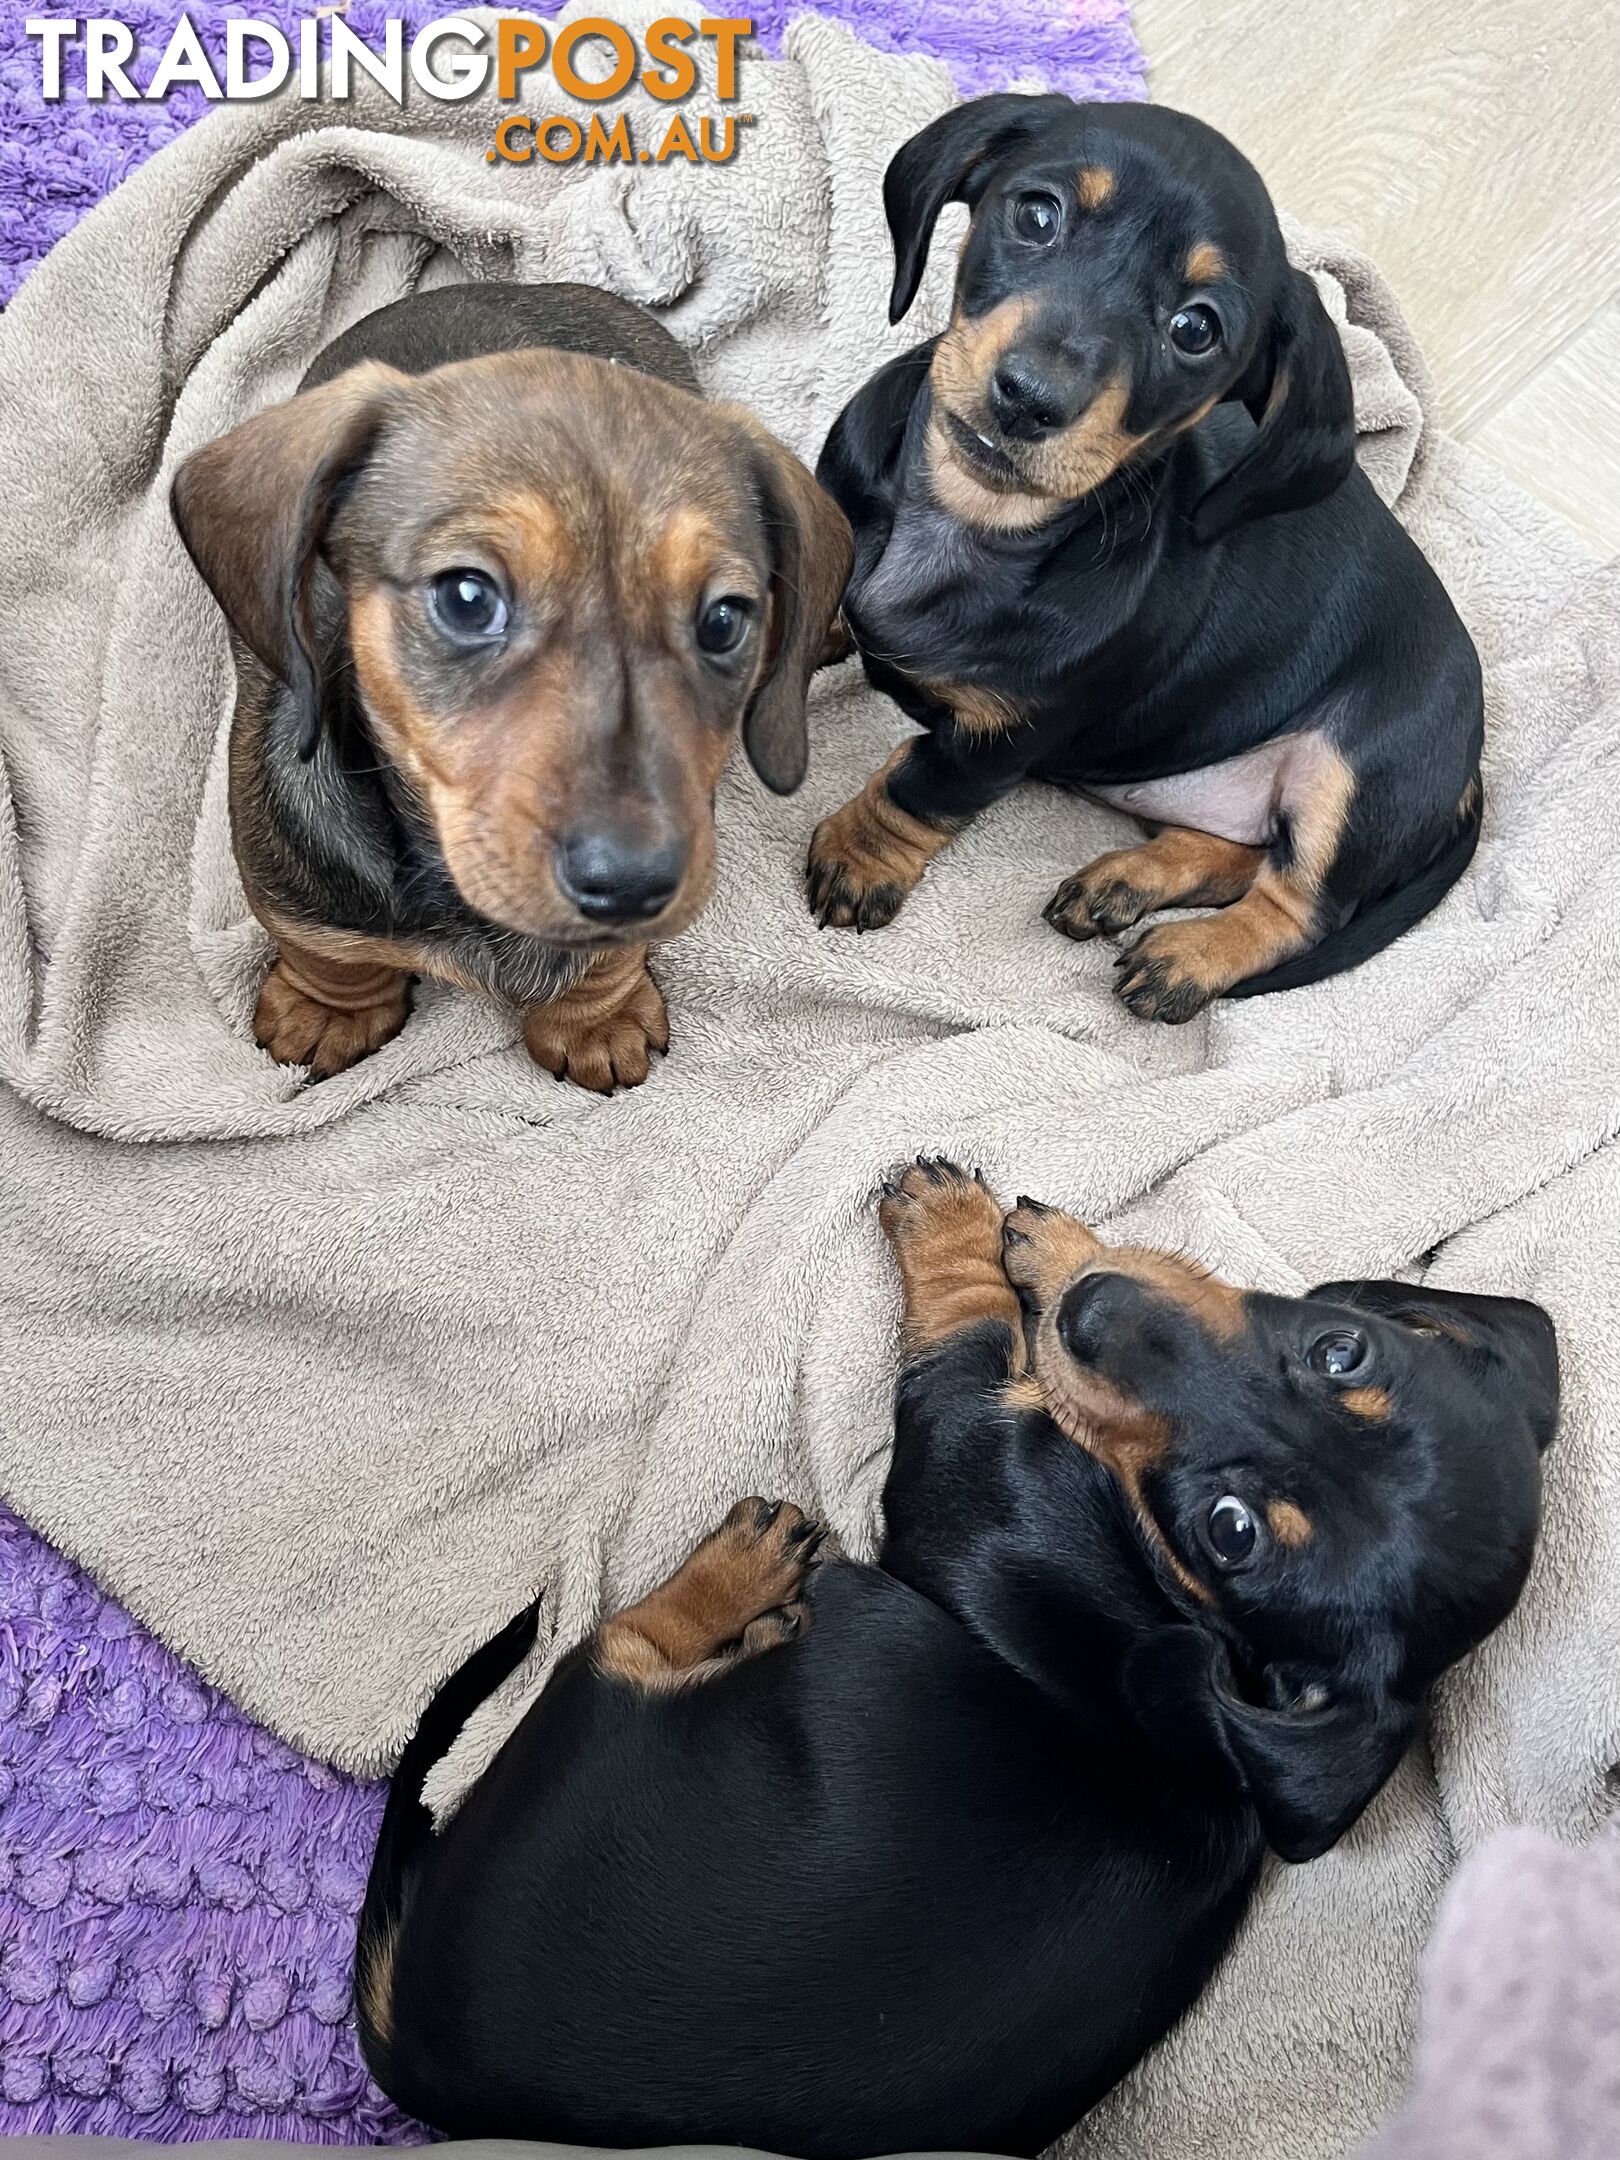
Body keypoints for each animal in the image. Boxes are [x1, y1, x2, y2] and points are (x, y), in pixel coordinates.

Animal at [176, 282, 855, 1097]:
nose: (631, 884)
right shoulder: (284, 858)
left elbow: (605, 957)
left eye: (723, 619)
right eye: (467, 598)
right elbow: (323, 944)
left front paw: (595, 1017)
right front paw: (330, 1007)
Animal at [358, 1166, 1563, 2160]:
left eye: (1231, 1533)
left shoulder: (969, 1450)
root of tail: (413, 2050)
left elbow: (974, 1346)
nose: (1094, 1307)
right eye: (1340, 1352)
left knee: (616, 1642)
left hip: (592, 1726)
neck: (1162, 1597)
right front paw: (1054, 1244)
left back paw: (740, 1573)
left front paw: (958, 1231)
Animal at [816, 97, 1494, 1015]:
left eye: (1195, 328)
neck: (975, 517)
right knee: (1238, 851)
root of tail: (1471, 761)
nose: (1028, 399)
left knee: (1297, 907)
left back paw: (1190, 957)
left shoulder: (993, 742)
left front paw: (860, 858)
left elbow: (914, 788)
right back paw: (1126, 884)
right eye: (1038, 215)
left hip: (1356, 772)